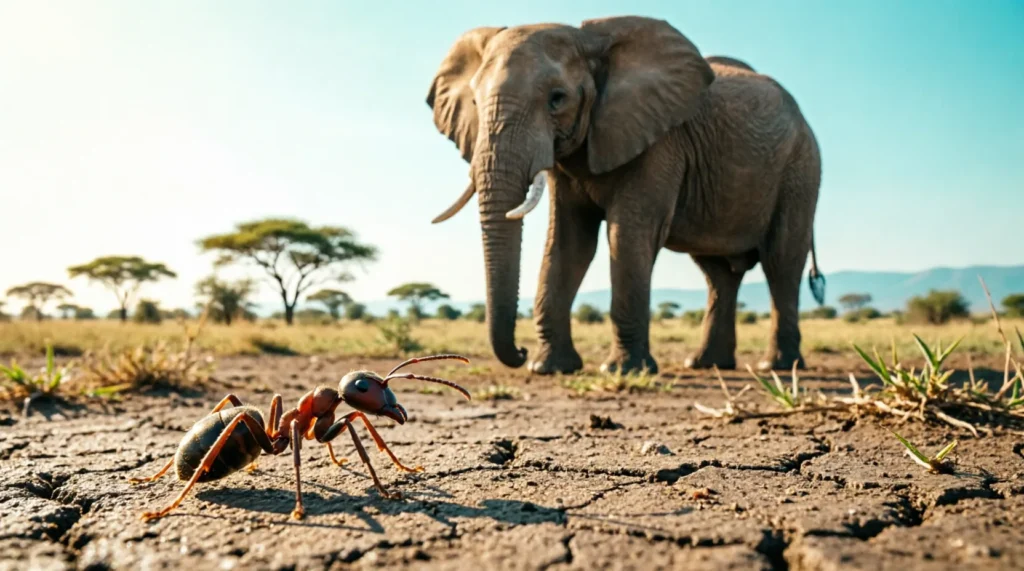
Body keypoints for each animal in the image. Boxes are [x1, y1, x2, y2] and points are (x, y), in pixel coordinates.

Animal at [425, 16, 825, 375]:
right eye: (475, 103)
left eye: (557, 99)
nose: (520, 352)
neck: (591, 44)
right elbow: (569, 243)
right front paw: (550, 368)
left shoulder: (661, 141)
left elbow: (628, 235)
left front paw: (624, 370)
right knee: (718, 274)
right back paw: (706, 364)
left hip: (800, 169)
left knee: (781, 260)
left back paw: (779, 366)